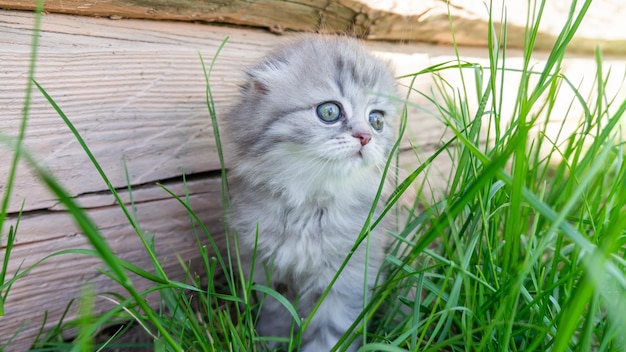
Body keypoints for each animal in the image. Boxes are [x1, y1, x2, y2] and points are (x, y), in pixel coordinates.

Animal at [224, 34, 398, 350]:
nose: (365, 136)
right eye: (329, 112)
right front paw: (271, 344)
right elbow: (276, 319)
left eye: (377, 120)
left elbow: (331, 335)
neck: (309, 203)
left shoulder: (347, 278)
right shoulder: (267, 271)